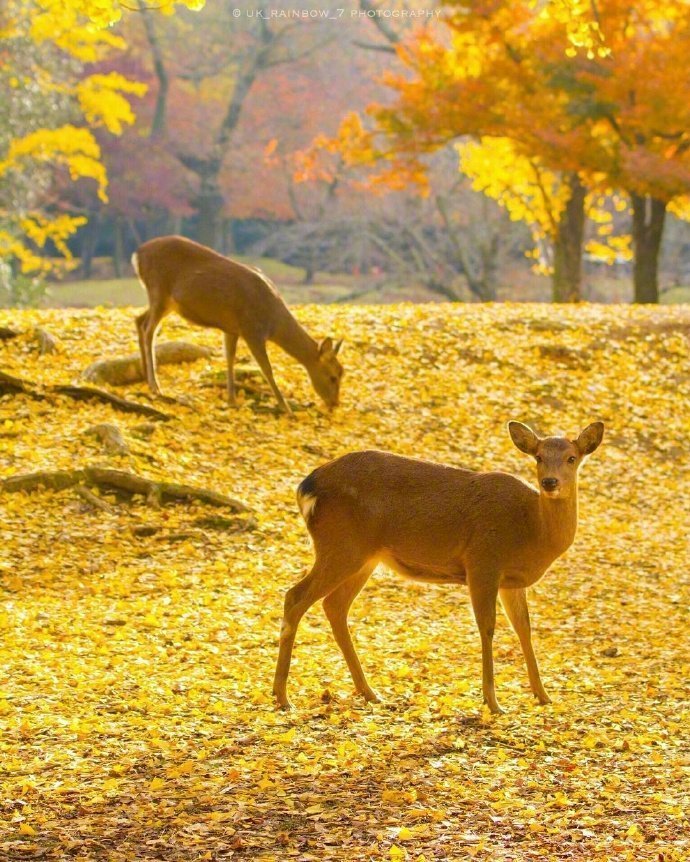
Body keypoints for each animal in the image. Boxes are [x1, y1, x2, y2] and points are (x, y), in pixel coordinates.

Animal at [131, 235, 342, 414]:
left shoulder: (232, 329)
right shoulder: (252, 330)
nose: (334, 404)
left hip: (167, 302)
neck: (273, 321)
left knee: (139, 319)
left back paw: (145, 376)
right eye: (333, 376)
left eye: (342, 373)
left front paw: (231, 400)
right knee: (149, 330)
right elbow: (267, 369)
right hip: (158, 291)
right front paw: (286, 408)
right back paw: (155, 385)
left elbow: (230, 358)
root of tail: (138, 254)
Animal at [274, 424, 600, 716]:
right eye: (539, 457)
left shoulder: (512, 581)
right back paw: (282, 696)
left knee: (334, 605)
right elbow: (487, 627)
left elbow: (524, 627)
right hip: (341, 545)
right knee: (295, 596)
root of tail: (306, 488)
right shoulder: (482, 561)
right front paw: (493, 702)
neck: (532, 531)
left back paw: (370, 693)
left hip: (364, 557)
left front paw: (543, 695)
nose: (550, 482)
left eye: (572, 457)